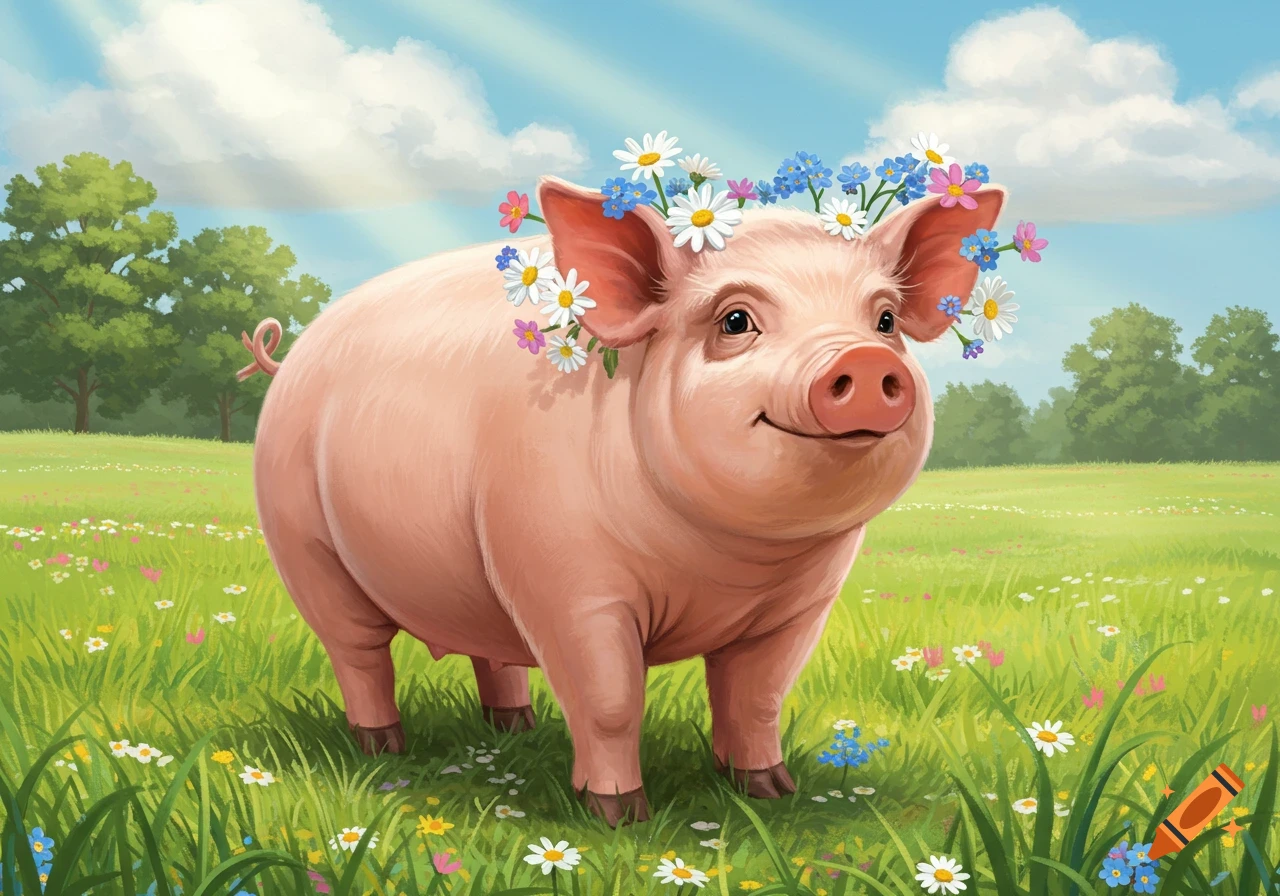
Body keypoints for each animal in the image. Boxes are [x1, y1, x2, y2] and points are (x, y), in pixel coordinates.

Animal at [240, 175, 1005, 826]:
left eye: (885, 321)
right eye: (735, 321)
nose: (865, 361)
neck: (728, 562)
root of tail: (291, 356)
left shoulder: (802, 604)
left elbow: (757, 697)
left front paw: (770, 793)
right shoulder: (567, 583)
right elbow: (609, 700)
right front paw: (617, 818)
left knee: (494, 651)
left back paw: (513, 729)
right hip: (303, 539)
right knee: (358, 653)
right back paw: (383, 749)